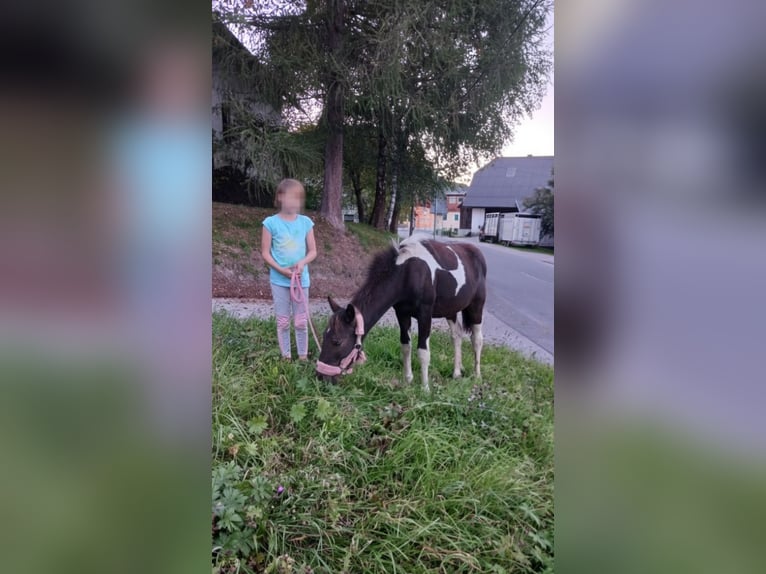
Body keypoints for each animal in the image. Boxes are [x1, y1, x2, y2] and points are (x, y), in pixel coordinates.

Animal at [315, 235, 487, 391]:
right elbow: (406, 346)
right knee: (457, 335)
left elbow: (423, 351)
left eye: (337, 341)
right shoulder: (402, 313)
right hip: (450, 309)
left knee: (477, 339)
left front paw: (425, 388)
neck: (406, 273)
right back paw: (456, 373)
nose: (320, 377)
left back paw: (477, 375)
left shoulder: (425, 314)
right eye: (324, 335)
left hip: (476, 307)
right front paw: (408, 380)